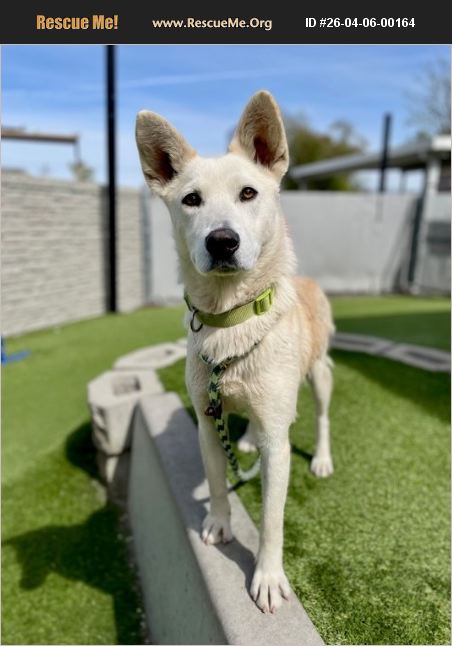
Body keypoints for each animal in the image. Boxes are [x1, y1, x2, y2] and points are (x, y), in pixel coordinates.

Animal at [136, 91, 334, 614]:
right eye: (191, 200)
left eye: (248, 193)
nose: (222, 241)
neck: (233, 318)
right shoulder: (207, 421)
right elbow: (217, 483)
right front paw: (219, 525)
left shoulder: (278, 445)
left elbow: (271, 519)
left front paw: (266, 577)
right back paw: (243, 441)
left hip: (320, 375)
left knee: (322, 415)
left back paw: (322, 458)